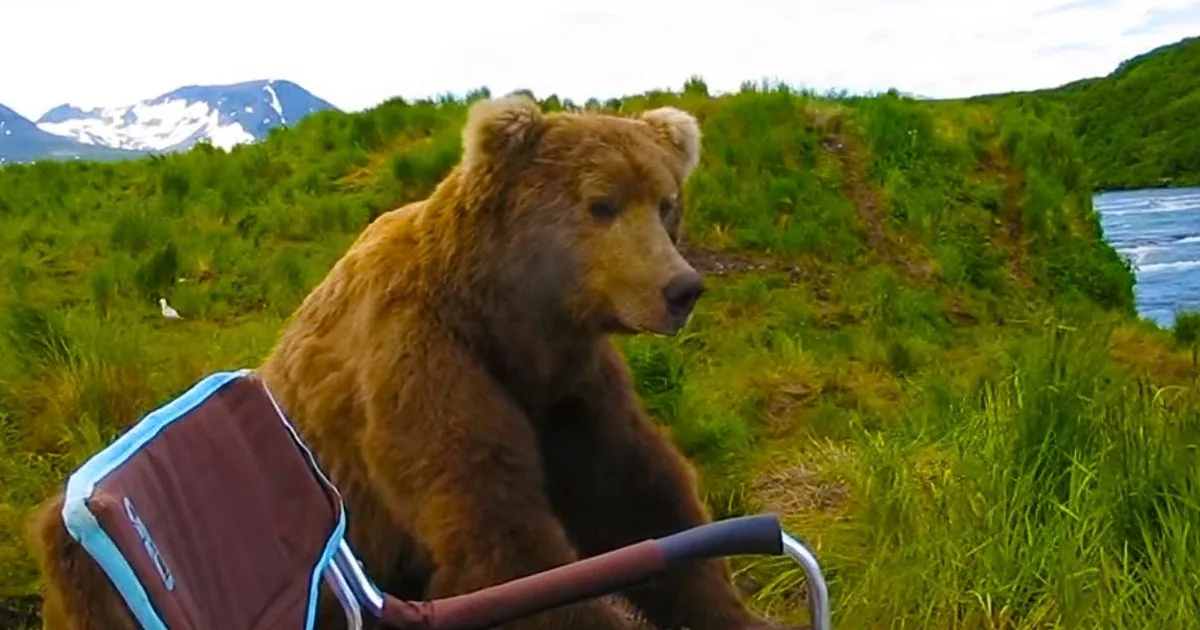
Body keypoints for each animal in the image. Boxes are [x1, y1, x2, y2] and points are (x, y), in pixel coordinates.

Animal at [27, 95, 804, 630]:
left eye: (666, 202)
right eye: (602, 203)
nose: (681, 288)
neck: (509, 321)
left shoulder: (570, 391)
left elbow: (641, 500)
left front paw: (732, 608)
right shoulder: (422, 364)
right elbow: (500, 540)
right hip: (89, 574)